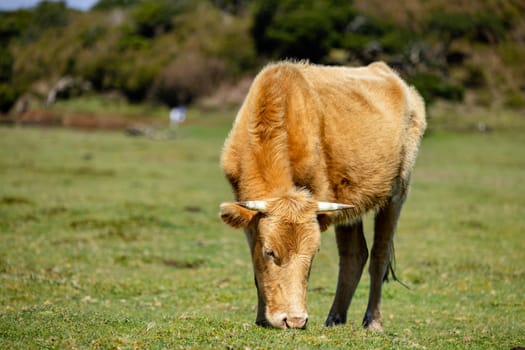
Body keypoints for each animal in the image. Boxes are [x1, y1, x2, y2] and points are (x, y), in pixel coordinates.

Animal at [218, 60, 426, 330]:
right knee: (354, 255)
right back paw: (335, 318)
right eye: (270, 252)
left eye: (313, 253)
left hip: (396, 195)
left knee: (378, 257)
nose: (294, 320)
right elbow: (256, 268)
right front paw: (262, 317)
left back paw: (373, 321)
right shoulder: (249, 219)